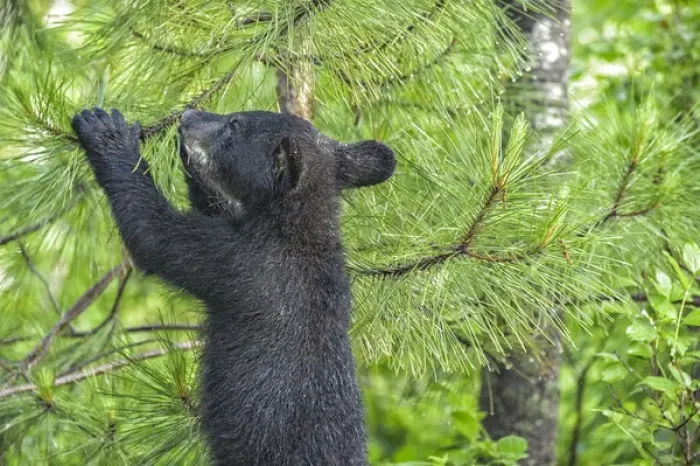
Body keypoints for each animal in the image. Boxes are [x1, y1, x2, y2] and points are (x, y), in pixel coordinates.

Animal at [71, 108, 395, 466]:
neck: (296, 227)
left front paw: (106, 132)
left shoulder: (240, 262)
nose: (188, 114)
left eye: (233, 127)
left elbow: (155, 234)